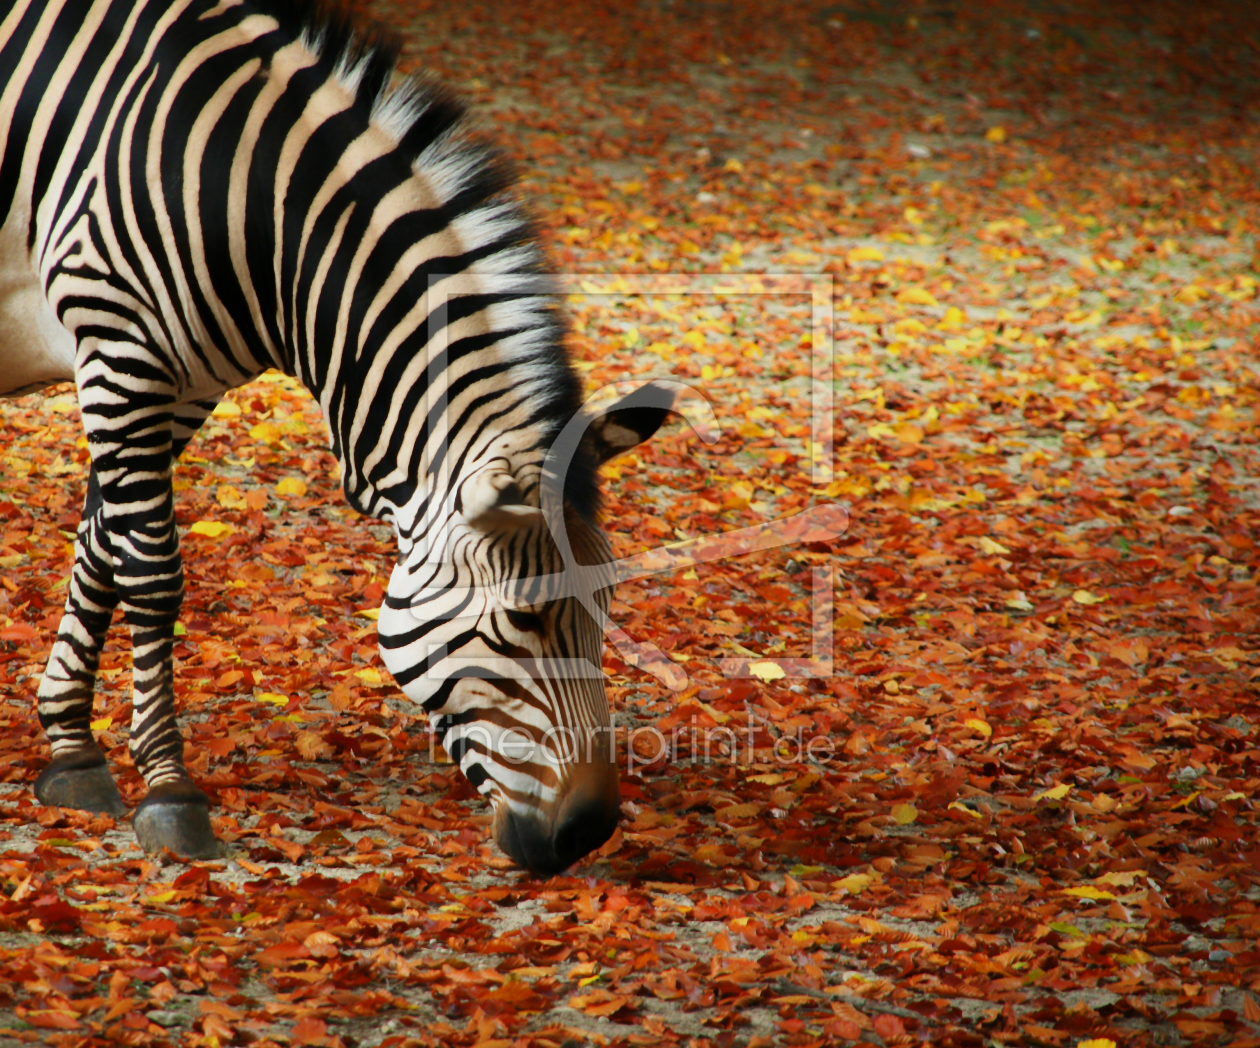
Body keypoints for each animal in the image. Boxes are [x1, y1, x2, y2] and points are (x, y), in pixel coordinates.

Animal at [0, 0, 675, 871]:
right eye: (524, 621)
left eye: (606, 605)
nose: (589, 832)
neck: (248, 202)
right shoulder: (120, 349)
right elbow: (149, 571)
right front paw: (168, 789)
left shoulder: (180, 382)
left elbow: (101, 549)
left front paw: (72, 750)